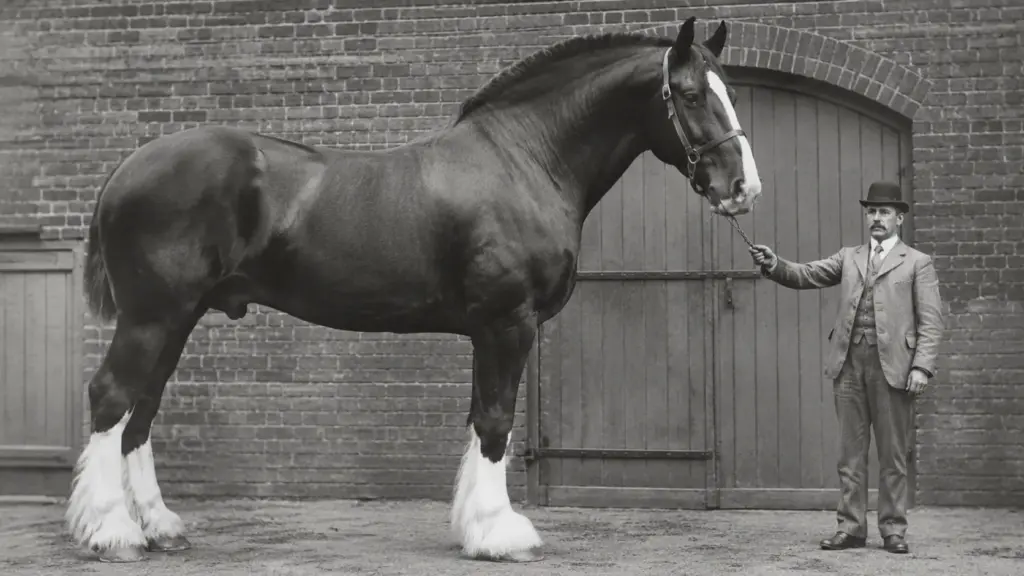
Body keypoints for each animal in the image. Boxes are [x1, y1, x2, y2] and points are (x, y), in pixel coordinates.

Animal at [66, 17, 761, 563]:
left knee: (141, 411)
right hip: (153, 315)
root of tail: (127, 168)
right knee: (112, 397)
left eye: (731, 92)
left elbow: (480, 418)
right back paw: (112, 534)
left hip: (177, 318)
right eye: (690, 94)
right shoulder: (508, 322)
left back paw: (159, 528)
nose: (742, 187)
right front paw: (500, 535)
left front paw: (474, 527)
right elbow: (496, 420)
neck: (524, 161)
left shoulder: (489, 330)